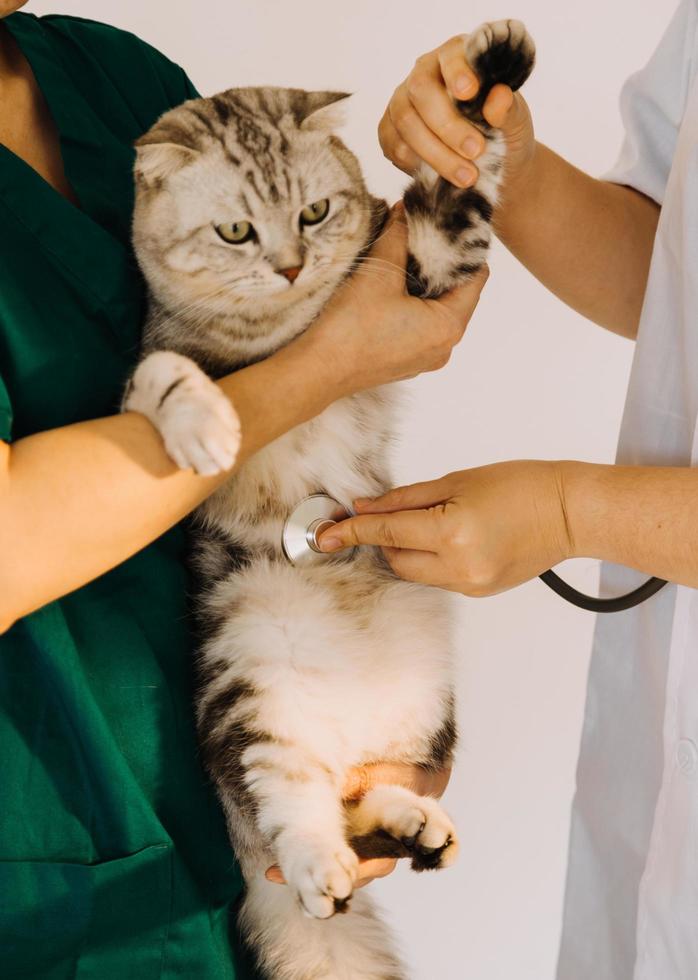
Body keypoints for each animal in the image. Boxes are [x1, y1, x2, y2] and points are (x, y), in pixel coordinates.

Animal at [123, 19, 532, 976]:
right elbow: (165, 375)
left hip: (426, 710)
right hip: (247, 701)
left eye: (315, 213)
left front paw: (484, 70)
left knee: (357, 798)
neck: (282, 329)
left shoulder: (430, 262)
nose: (289, 265)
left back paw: (418, 827)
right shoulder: (146, 368)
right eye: (237, 231)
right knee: (298, 822)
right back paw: (326, 870)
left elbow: (454, 190)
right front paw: (203, 423)